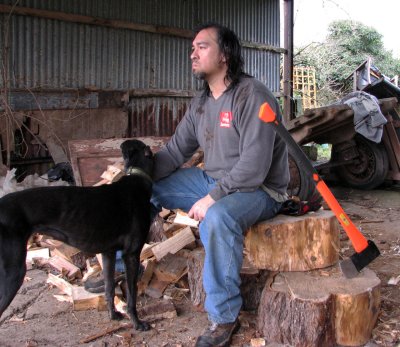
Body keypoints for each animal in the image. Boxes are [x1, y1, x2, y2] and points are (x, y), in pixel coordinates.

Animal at [0, 141, 153, 332]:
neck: (136, 178)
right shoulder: (131, 254)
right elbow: (132, 295)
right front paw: (137, 323)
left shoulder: (108, 253)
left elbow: (109, 287)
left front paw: (113, 315)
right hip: (13, 272)